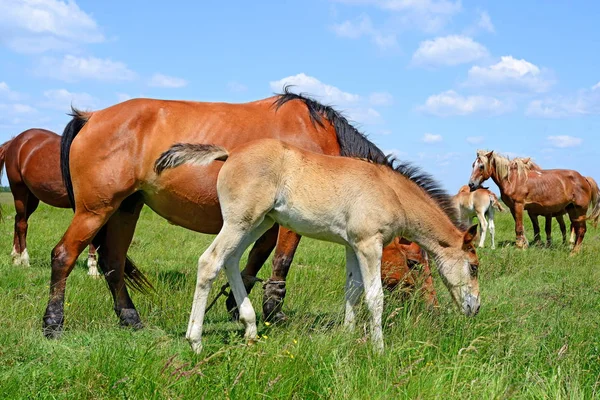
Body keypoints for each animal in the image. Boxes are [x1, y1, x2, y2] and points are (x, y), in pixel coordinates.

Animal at [0, 130, 96, 274]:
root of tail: (14, 141)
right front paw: (93, 270)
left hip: (32, 199)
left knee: (18, 220)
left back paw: (16, 259)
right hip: (19, 192)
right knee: (22, 225)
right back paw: (25, 260)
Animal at [42, 90, 436, 338]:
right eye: (414, 263)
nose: (433, 310)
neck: (322, 140)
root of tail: (90, 117)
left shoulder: (267, 221)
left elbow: (253, 260)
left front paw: (236, 304)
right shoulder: (290, 225)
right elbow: (279, 264)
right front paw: (273, 313)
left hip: (126, 208)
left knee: (113, 263)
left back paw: (131, 319)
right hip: (95, 210)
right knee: (63, 255)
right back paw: (53, 323)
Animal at [156, 138, 482, 354]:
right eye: (474, 267)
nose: (475, 307)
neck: (390, 191)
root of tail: (231, 153)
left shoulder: (352, 245)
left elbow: (352, 291)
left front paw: (348, 335)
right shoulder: (369, 244)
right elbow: (374, 297)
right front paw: (379, 349)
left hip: (259, 222)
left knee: (232, 259)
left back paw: (250, 329)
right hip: (240, 221)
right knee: (209, 262)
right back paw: (196, 342)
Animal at [468, 151, 600, 253]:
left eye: (481, 166)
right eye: (473, 164)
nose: (471, 184)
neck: (513, 179)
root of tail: (584, 178)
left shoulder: (519, 205)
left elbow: (519, 227)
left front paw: (519, 247)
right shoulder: (514, 208)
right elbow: (523, 227)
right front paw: (525, 244)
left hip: (580, 210)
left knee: (581, 230)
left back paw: (574, 252)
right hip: (572, 210)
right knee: (577, 228)